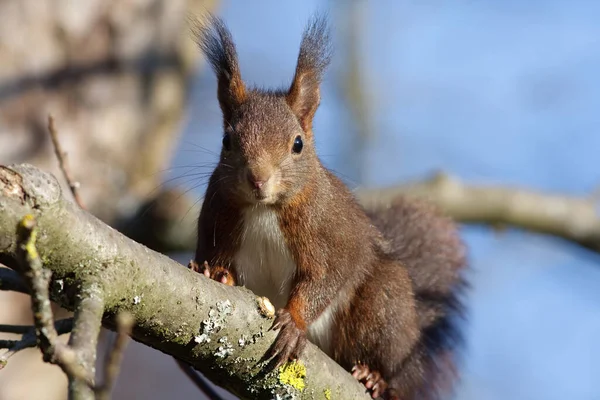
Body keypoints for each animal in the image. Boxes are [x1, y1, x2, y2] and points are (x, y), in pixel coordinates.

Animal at [192, 13, 468, 400]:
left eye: (297, 144)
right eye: (226, 140)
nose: (258, 180)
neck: (265, 209)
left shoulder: (331, 236)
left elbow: (325, 277)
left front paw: (293, 323)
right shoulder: (216, 222)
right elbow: (216, 258)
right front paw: (214, 272)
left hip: (385, 307)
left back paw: (375, 377)